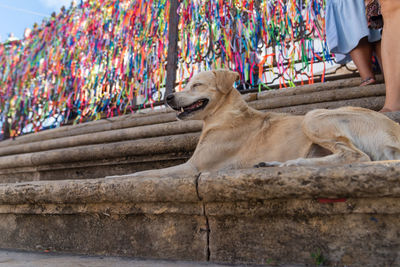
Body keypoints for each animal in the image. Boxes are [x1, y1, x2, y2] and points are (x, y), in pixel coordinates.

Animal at [131, 69, 400, 178]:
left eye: (196, 85)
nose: (168, 97)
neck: (223, 115)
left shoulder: (194, 167)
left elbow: (146, 172)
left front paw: (119, 179)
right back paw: (274, 164)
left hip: (314, 115)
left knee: (357, 156)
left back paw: (293, 164)